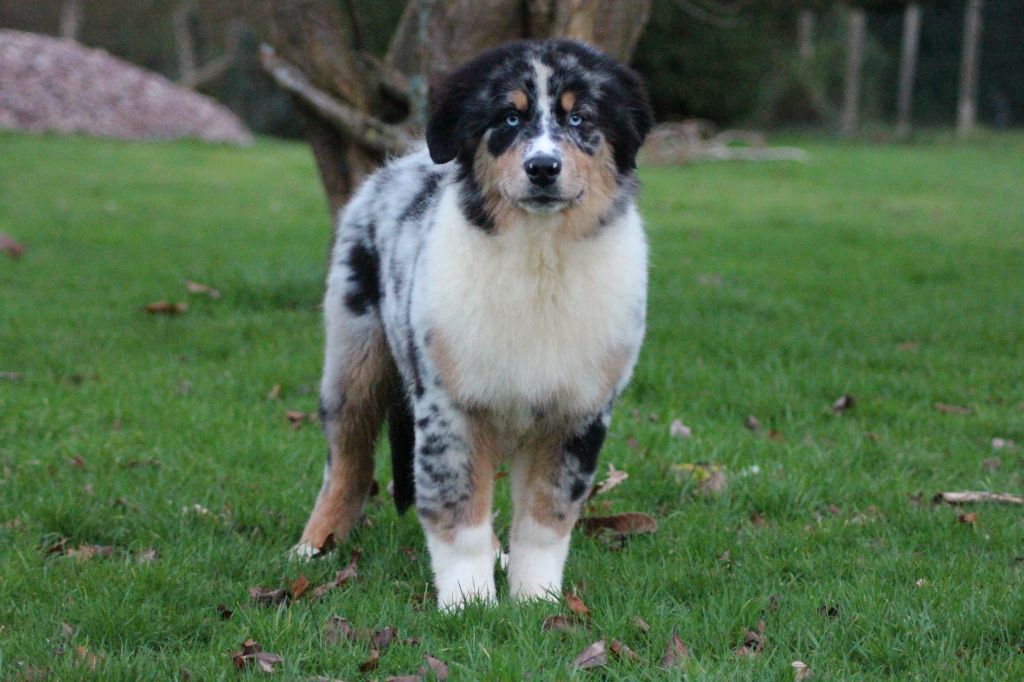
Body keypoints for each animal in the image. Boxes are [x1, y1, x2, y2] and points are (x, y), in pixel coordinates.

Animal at [292, 39, 651, 606]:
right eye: (508, 118)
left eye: (579, 118)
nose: (543, 167)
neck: (539, 260)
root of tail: (397, 166)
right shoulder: (449, 406)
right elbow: (457, 510)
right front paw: (467, 604)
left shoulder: (578, 413)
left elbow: (545, 519)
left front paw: (537, 601)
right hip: (354, 353)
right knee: (348, 460)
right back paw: (314, 547)